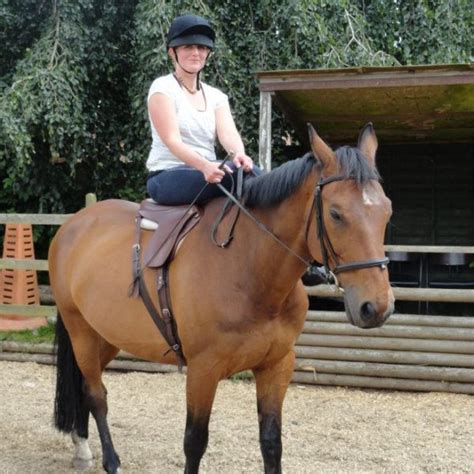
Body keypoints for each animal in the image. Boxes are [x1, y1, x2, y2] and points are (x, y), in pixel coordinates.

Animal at [50, 124, 394, 472]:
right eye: (336, 214)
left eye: (387, 211)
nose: (376, 307)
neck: (250, 268)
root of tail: (73, 224)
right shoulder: (203, 369)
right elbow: (194, 442)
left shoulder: (277, 365)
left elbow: (271, 443)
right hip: (81, 332)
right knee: (96, 394)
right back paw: (109, 459)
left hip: (105, 336)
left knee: (84, 386)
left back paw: (82, 444)